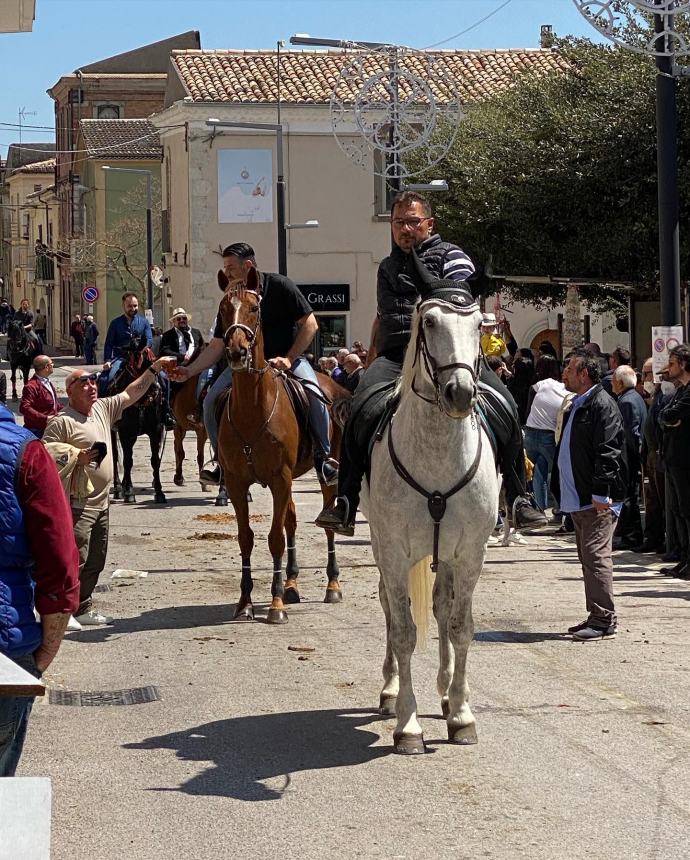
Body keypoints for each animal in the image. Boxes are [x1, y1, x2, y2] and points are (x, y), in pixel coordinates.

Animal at [108, 330, 167, 504]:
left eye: (152, 360)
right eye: (134, 360)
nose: (155, 388)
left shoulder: (155, 431)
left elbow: (155, 461)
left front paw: (159, 492)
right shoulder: (125, 433)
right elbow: (127, 461)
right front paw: (129, 492)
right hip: (114, 431)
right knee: (116, 456)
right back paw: (119, 488)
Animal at [215, 270, 352, 624]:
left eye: (253, 308)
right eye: (223, 310)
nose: (236, 352)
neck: (254, 410)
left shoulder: (279, 478)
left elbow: (275, 538)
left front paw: (275, 604)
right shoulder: (237, 483)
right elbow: (246, 537)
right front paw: (245, 602)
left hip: (324, 472)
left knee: (326, 526)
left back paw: (332, 585)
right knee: (290, 519)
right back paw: (291, 583)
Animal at [358, 272, 498, 756]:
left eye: (478, 324)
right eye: (431, 321)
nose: (460, 393)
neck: (437, 452)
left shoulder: (470, 553)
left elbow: (459, 626)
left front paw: (461, 714)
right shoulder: (394, 552)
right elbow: (403, 630)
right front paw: (408, 724)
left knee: (440, 607)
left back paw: (446, 691)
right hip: (382, 548)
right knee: (389, 606)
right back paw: (390, 690)